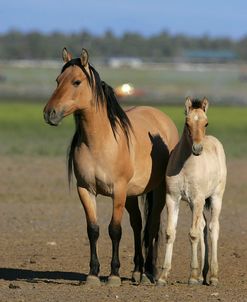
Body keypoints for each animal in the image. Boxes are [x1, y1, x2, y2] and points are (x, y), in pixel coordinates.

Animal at [43, 48, 178, 286]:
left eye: (76, 82)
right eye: (58, 80)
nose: (49, 113)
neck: (100, 142)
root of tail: (162, 118)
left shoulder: (119, 191)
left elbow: (115, 230)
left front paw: (114, 274)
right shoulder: (85, 190)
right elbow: (93, 230)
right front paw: (93, 274)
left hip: (158, 191)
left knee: (151, 226)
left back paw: (149, 273)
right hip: (132, 195)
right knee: (137, 224)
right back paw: (137, 270)